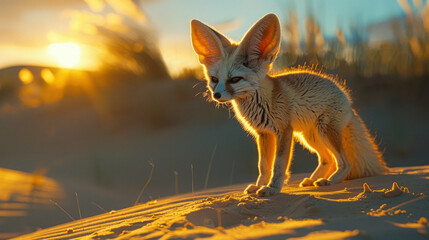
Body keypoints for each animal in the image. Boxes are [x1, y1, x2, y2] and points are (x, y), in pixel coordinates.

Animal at [189, 13, 386, 197]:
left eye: (235, 79)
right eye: (214, 80)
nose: (216, 95)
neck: (264, 101)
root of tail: (347, 99)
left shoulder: (284, 131)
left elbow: (278, 164)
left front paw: (272, 188)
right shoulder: (263, 134)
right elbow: (263, 166)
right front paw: (260, 186)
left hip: (323, 132)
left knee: (345, 163)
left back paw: (330, 181)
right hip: (310, 137)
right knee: (327, 159)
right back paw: (313, 180)